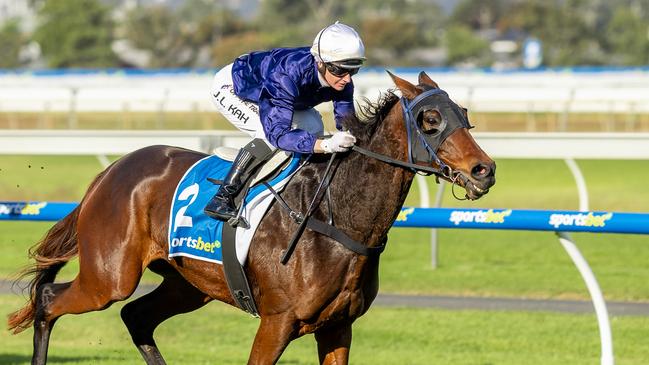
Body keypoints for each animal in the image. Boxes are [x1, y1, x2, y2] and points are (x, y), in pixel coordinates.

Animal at [6, 72, 496, 364]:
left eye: (464, 115)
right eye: (430, 119)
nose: (484, 170)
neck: (335, 220)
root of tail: (109, 172)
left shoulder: (338, 328)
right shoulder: (276, 323)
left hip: (188, 284)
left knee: (136, 318)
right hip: (110, 276)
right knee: (49, 300)